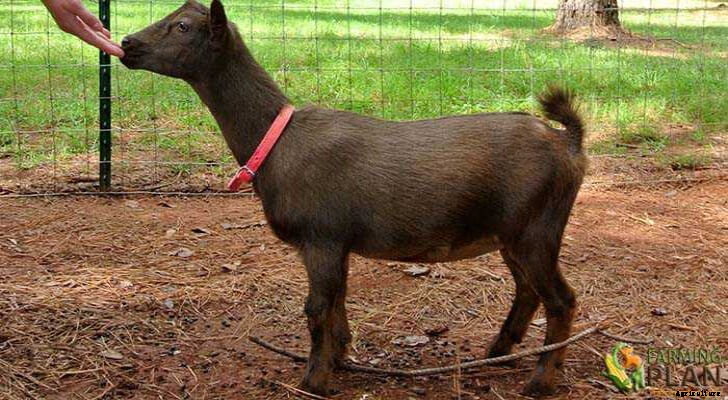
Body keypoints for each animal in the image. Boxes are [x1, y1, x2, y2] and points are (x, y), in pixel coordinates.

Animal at [121, 1, 587, 396]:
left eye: (182, 26)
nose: (127, 44)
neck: (277, 142)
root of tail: (569, 143)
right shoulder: (337, 243)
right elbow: (338, 303)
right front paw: (341, 357)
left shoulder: (320, 237)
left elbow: (317, 308)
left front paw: (315, 380)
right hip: (513, 235)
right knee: (528, 292)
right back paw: (497, 353)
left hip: (535, 230)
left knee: (561, 300)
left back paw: (541, 381)